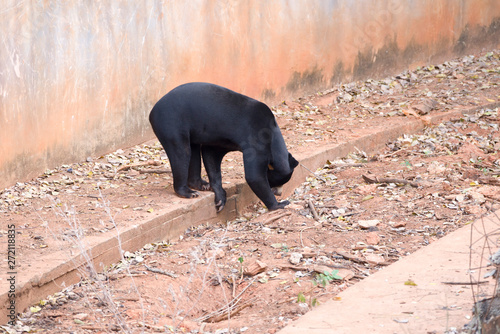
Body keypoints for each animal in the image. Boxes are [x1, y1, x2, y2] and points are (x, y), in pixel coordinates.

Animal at [147, 82, 296, 211]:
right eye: (278, 182)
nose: (279, 193)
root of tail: (152, 110)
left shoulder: (224, 139)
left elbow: (211, 153)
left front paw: (220, 199)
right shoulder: (256, 139)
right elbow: (254, 176)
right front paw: (279, 204)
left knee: (193, 150)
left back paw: (201, 185)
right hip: (171, 123)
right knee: (181, 152)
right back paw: (189, 192)